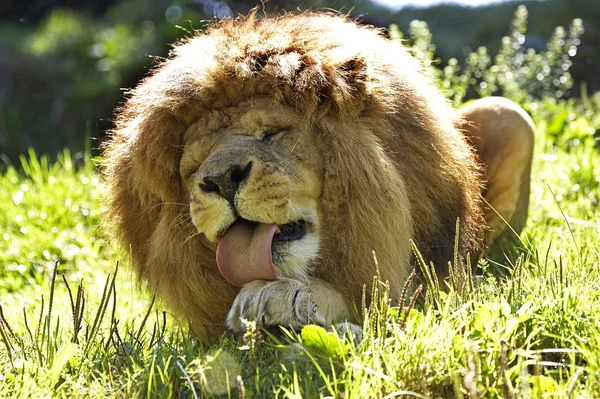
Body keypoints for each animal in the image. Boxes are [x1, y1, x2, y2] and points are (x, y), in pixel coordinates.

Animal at [103, 14, 536, 342]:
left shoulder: (443, 287)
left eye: (271, 133)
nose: (222, 180)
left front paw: (286, 296)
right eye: (193, 167)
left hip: (508, 116)